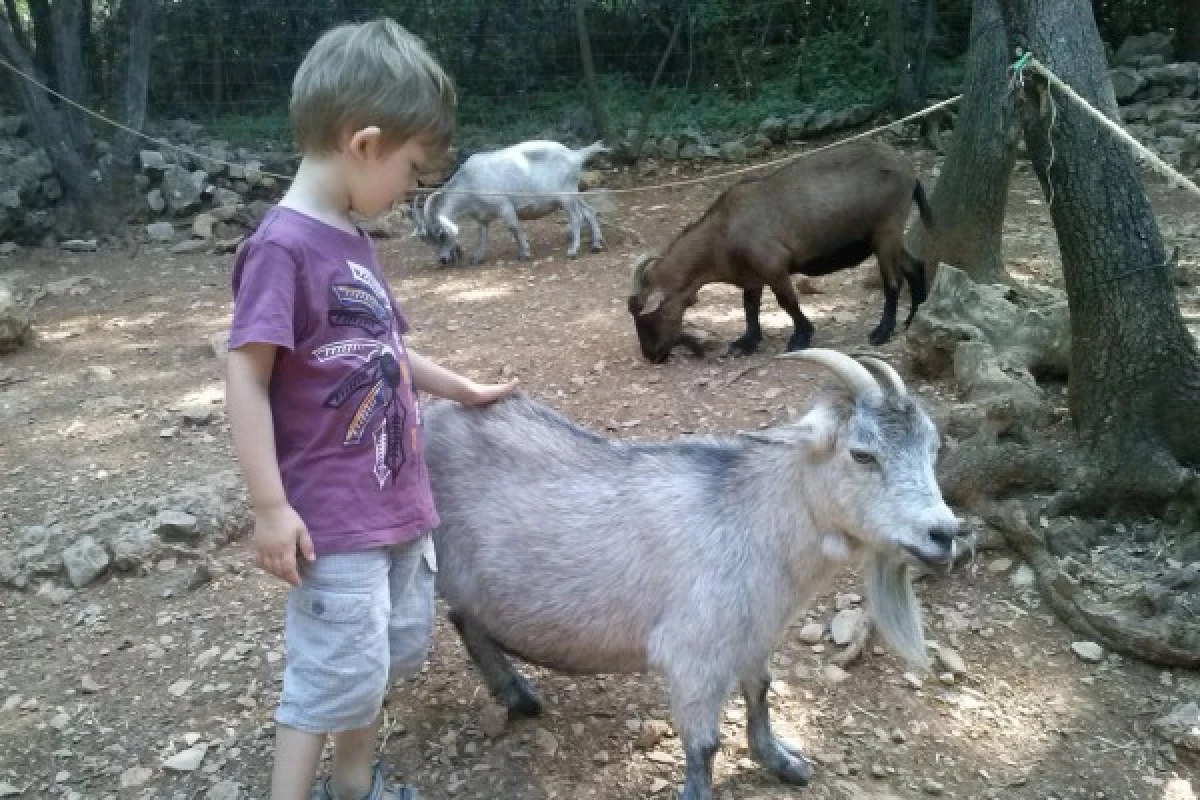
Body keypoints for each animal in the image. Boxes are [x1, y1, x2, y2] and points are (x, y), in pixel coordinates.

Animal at [420, 140, 609, 266]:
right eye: (428, 240)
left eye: (441, 235)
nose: (443, 259)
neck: (468, 182)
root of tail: (576, 155)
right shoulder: (482, 216)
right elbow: (482, 235)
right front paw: (477, 258)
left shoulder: (504, 206)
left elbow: (514, 227)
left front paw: (524, 253)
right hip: (573, 194)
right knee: (589, 211)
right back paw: (596, 244)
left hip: (566, 197)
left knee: (577, 217)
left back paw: (573, 251)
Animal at [427, 350, 960, 800]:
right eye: (862, 454)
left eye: (934, 448)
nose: (946, 534)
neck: (752, 518)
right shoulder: (694, 655)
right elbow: (704, 746)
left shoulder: (753, 637)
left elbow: (760, 693)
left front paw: (781, 761)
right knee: (461, 618)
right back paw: (517, 692)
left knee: (465, 619)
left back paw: (516, 695)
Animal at [628, 141, 936, 362]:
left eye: (646, 317)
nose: (651, 356)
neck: (722, 231)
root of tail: (908, 171)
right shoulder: (751, 277)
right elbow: (750, 308)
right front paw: (746, 342)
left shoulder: (773, 265)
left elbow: (787, 301)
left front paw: (801, 337)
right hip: (885, 238)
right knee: (915, 266)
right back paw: (912, 319)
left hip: (886, 231)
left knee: (893, 281)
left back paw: (882, 332)